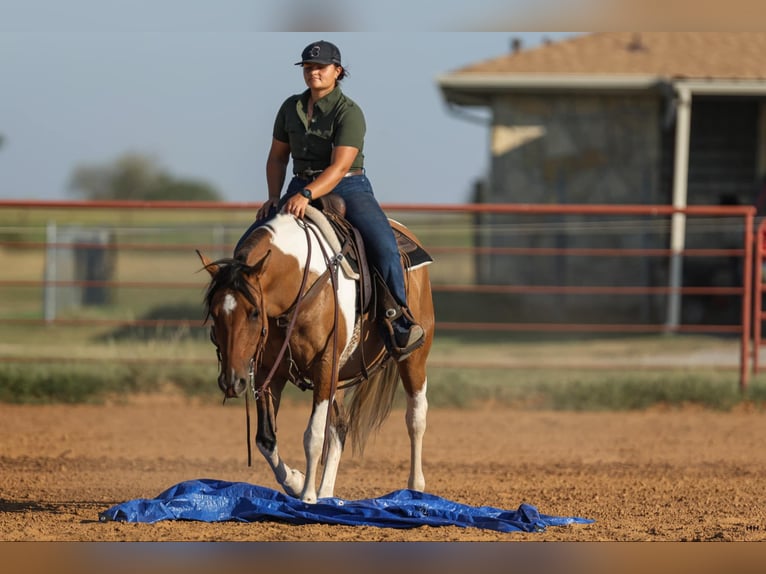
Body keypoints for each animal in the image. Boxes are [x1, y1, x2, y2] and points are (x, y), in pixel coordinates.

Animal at [196, 206, 434, 503]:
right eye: (215, 314)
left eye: (253, 313)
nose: (232, 382)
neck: (300, 281)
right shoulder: (267, 372)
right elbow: (266, 439)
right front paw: (297, 483)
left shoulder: (324, 364)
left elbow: (314, 435)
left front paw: (307, 496)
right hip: (339, 377)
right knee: (340, 427)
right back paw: (327, 493)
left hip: (414, 357)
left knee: (416, 418)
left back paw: (415, 488)